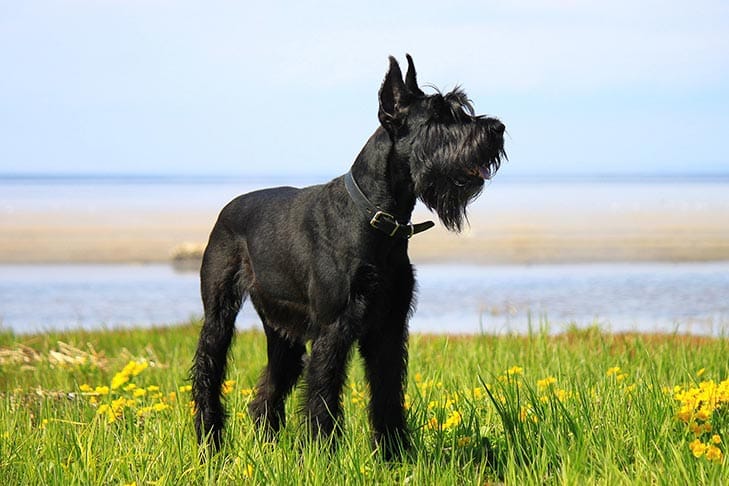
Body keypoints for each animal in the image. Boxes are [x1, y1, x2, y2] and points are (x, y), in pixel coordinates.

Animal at [191, 55, 504, 458]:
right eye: (439, 116)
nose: (497, 128)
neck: (377, 217)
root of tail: (228, 208)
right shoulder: (334, 328)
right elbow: (324, 392)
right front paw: (321, 452)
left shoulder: (389, 328)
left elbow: (388, 391)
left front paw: (394, 453)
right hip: (219, 314)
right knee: (208, 370)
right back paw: (209, 441)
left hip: (282, 331)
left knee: (269, 388)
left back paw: (269, 446)